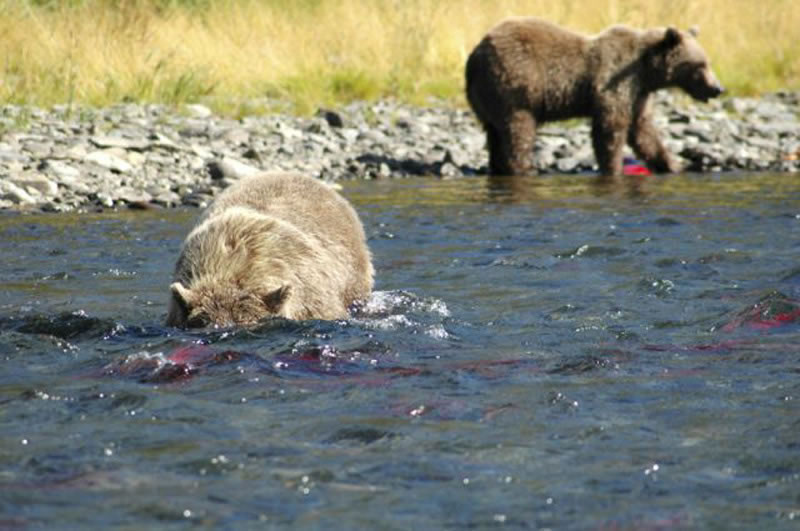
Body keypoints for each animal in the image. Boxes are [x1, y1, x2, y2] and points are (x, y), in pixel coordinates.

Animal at [462, 17, 724, 177]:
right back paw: (524, 168)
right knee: (518, 130)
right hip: (515, 85)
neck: (647, 70)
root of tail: (474, 57)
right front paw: (614, 167)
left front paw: (672, 164)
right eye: (699, 65)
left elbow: (643, 131)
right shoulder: (614, 82)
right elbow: (610, 127)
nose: (717, 88)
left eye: (707, 61)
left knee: (495, 134)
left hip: (487, 97)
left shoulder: (638, 94)